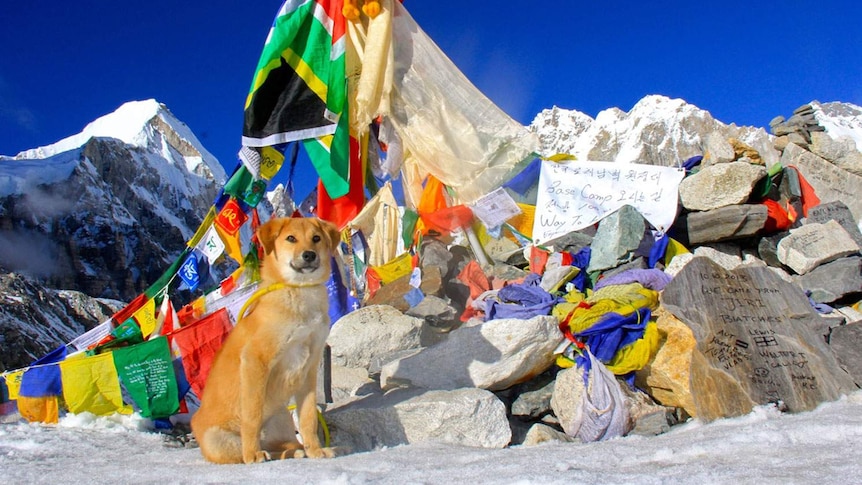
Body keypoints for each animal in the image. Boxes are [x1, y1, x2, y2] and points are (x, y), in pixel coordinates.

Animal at [192, 217, 340, 464]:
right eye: (291, 238)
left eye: (316, 238)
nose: (309, 255)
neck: (299, 293)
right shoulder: (256, 360)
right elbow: (252, 415)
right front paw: (252, 454)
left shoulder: (309, 369)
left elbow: (308, 417)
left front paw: (316, 451)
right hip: (218, 440)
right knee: (246, 450)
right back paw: (257, 452)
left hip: (281, 418)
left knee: (281, 446)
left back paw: (296, 451)